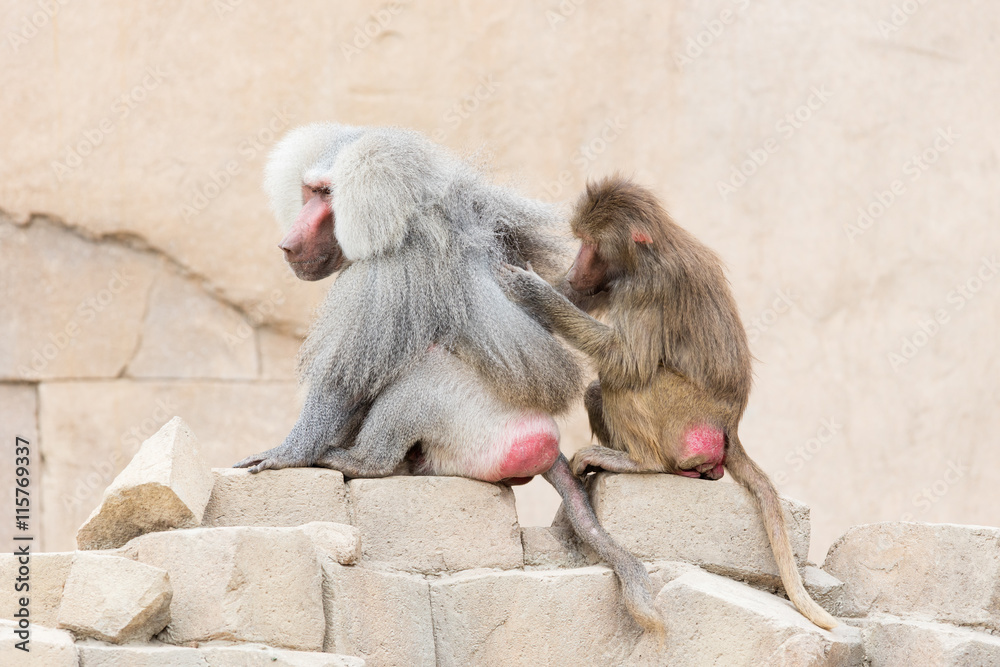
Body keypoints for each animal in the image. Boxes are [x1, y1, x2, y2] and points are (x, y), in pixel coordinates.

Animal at [234, 125, 664, 635]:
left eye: (325, 194)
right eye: (308, 190)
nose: (287, 244)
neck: (409, 216)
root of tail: (547, 440)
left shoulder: (387, 269)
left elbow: (344, 380)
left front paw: (288, 454)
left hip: (481, 430)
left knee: (422, 374)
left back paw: (363, 462)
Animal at [502, 175, 838, 630]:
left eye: (592, 243)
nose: (575, 268)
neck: (647, 253)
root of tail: (730, 426)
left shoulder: (647, 288)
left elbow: (629, 360)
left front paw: (533, 290)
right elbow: (580, 302)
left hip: (684, 412)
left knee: (625, 379)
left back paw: (638, 461)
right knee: (599, 391)